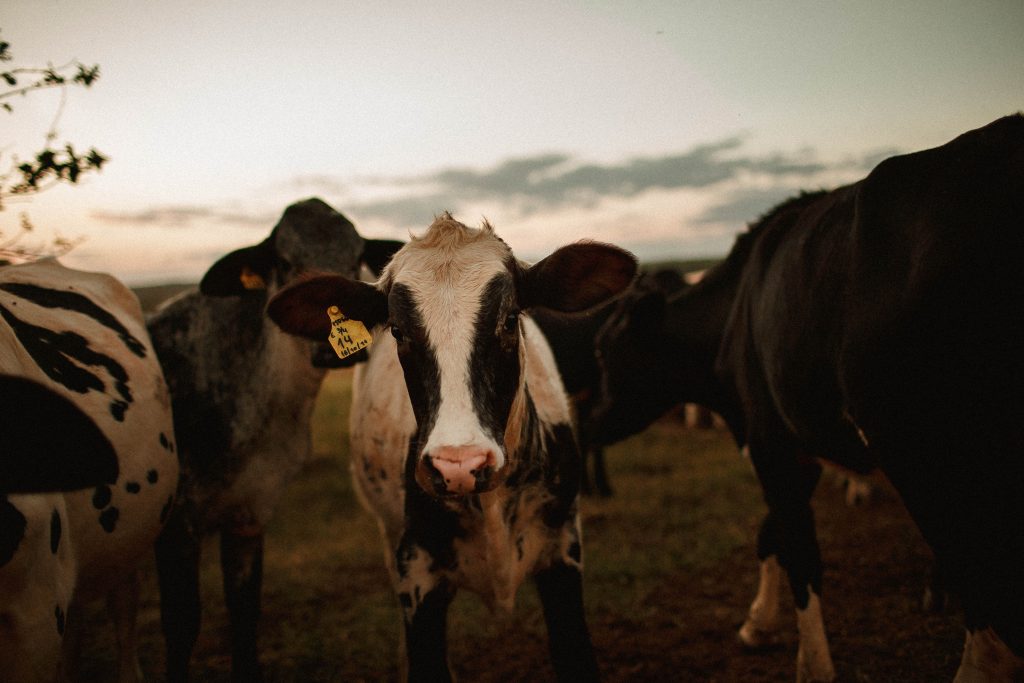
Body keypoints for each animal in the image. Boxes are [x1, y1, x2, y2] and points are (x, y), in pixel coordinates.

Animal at [146, 197, 401, 683]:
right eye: (284, 261)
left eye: (356, 257)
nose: (333, 347)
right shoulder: (178, 521)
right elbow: (182, 625)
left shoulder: (251, 512)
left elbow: (246, 613)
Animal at [589, 114, 1024, 679]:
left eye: (606, 351)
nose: (587, 416)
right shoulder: (797, 442)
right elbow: (771, 531)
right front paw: (757, 623)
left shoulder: (769, 438)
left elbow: (799, 550)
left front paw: (810, 663)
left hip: (934, 458)